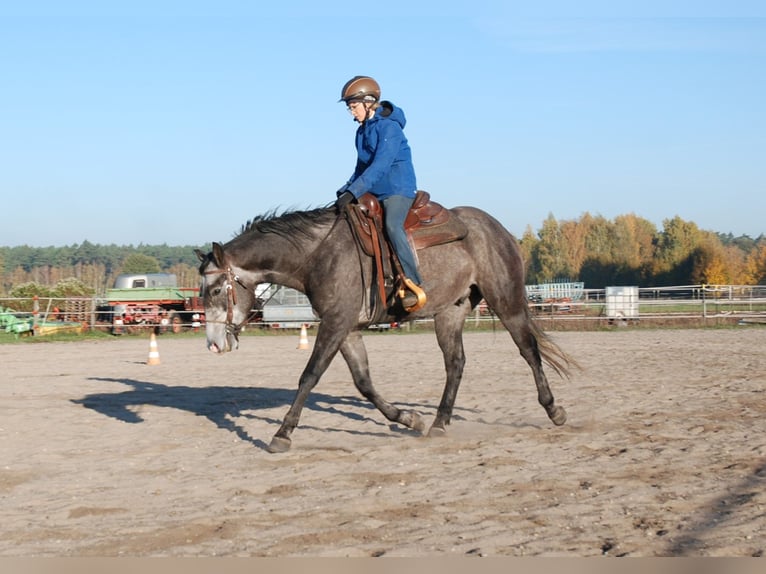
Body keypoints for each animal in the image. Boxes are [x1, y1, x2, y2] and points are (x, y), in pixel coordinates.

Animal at [198, 204, 576, 454]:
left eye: (215, 290)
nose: (213, 344)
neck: (318, 254)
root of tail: (498, 229)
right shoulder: (347, 328)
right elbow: (363, 382)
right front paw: (409, 419)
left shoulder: (335, 323)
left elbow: (309, 375)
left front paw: (282, 434)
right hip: (450, 312)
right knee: (455, 364)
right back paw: (438, 424)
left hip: (506, 300)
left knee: (529, 350)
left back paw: (554, 410)